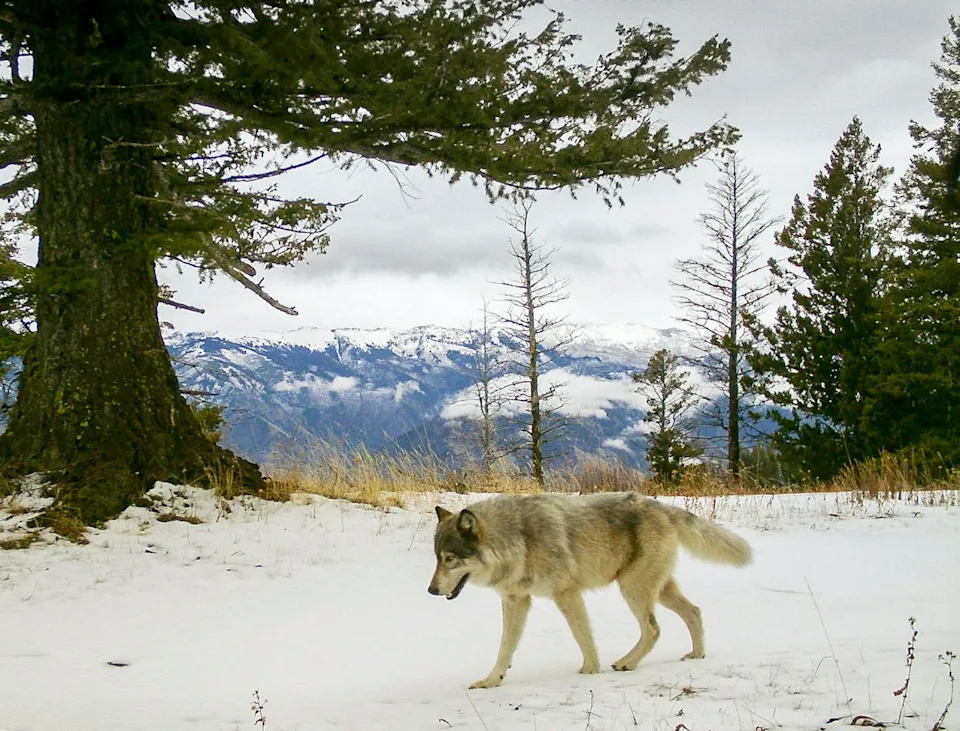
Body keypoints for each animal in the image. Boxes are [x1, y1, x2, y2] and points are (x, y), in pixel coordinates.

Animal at [428, 492, 752, 688]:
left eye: (450, 559)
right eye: (437, 558)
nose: (430, 590)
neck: (518, 540)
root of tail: (661, 506)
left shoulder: (566, 594)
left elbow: (582, 636)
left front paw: (590, 671)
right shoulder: (516, 600)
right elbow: (505, 647)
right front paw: (492, 680)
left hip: (633, 589)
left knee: (653, 628)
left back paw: (627, 662)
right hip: (657, 590)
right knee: (694, 611)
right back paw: (696, 654)